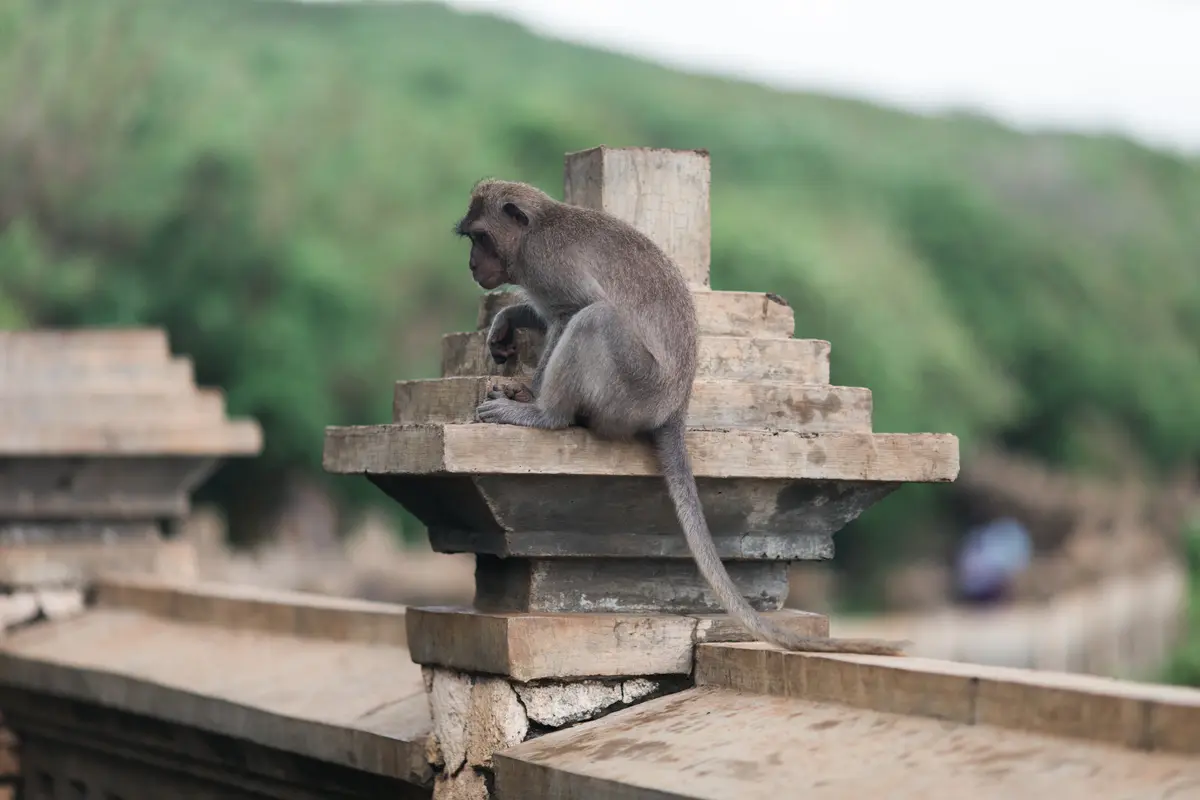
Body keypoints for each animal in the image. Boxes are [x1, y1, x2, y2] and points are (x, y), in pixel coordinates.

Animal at [455, 178, 907, 656]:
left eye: (481, 238)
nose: (472, 264)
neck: (534, 231)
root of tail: (677, 406)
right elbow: (543, 313)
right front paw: (507, 320)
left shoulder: (548, 263)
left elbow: (570, 310)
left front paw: (529, 394)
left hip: (632, 391)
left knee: (595, 319)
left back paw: (547, 414)